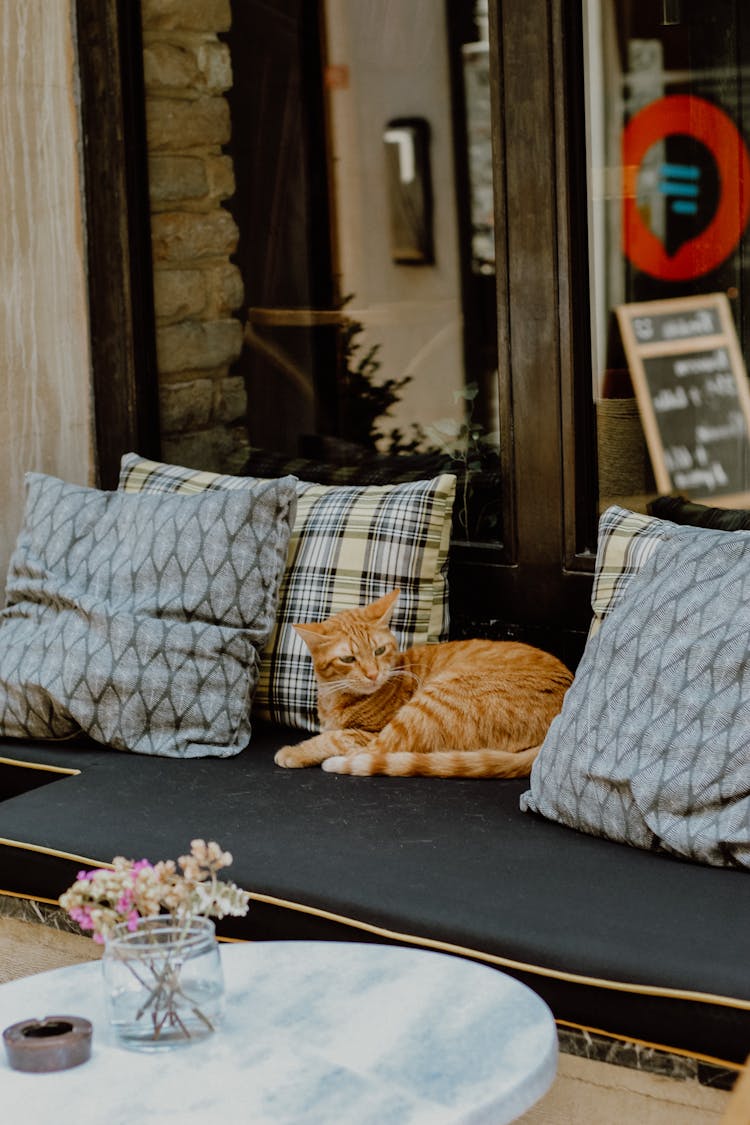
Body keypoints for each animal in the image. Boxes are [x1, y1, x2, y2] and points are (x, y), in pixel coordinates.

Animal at [273, 594, 571, 778]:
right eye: (348, 659)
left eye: (379, 650)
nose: (373, 674)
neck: (333, 697)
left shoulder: (366, 732)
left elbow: (334, 737)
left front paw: (296, 751)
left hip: (430, 702)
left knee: (377, 752)